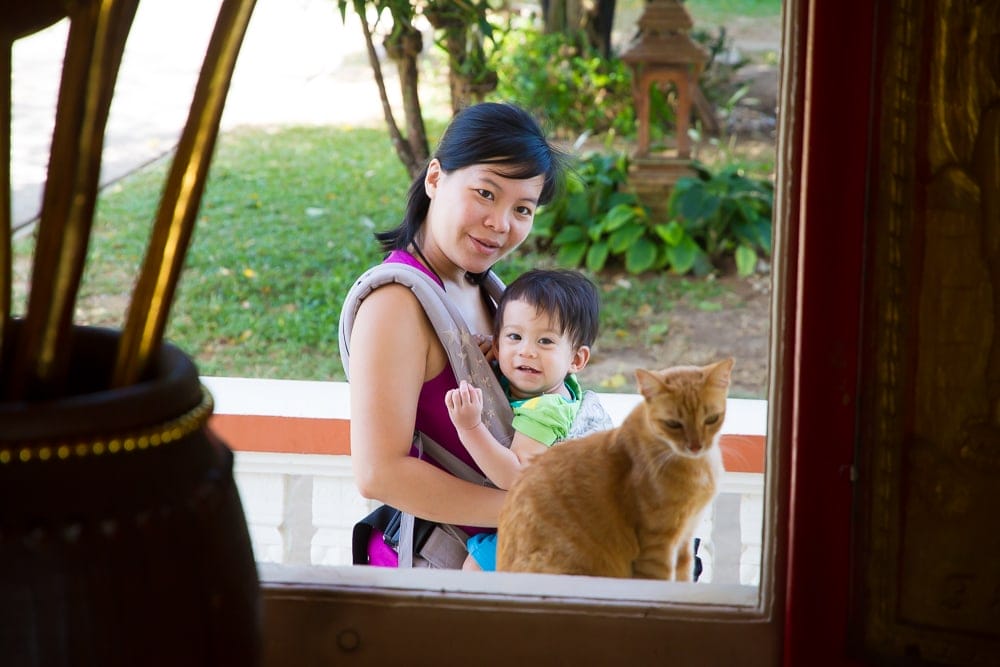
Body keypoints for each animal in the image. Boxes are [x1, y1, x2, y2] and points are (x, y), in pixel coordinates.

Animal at [494, 358, 736, 580]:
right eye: (673, 424)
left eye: (711, 419)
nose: (696, 446)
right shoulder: (658, 546)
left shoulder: (685, 540)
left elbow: (683, 577)